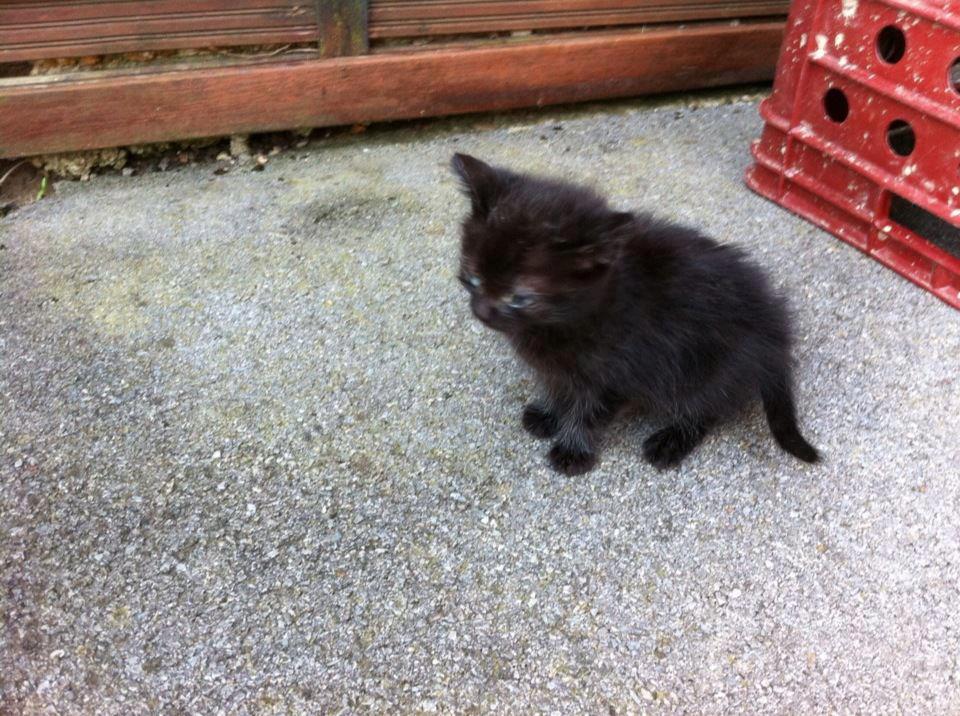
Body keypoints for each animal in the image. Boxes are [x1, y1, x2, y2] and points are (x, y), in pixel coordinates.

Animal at [452, 152, 820, 475]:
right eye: (473, 278)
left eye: (520, 298)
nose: (481, 313)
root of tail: (775, 333)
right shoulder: (561, 369)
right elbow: (557, 386)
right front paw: (549, 414)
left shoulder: (622, 374)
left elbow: (589, 413)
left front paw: (573, 449)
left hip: (709, 368)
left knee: (706, 408)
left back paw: (670, 441)